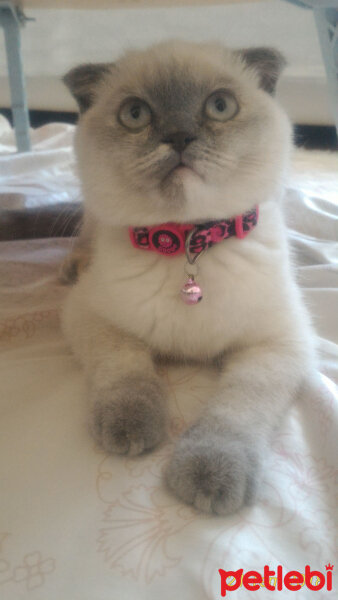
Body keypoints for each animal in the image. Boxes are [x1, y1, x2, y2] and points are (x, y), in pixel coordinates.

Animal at [60, 41, 314, 516]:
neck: (188, 242)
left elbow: (235, 408)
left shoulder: (278, 343)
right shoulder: (89, 317)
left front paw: (209, 477)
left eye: (220, 106)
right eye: (135, 114)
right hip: (89, 226)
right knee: (81, 239)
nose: (179, 137)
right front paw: (130, 427)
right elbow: (127, 370)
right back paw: (70, 267)